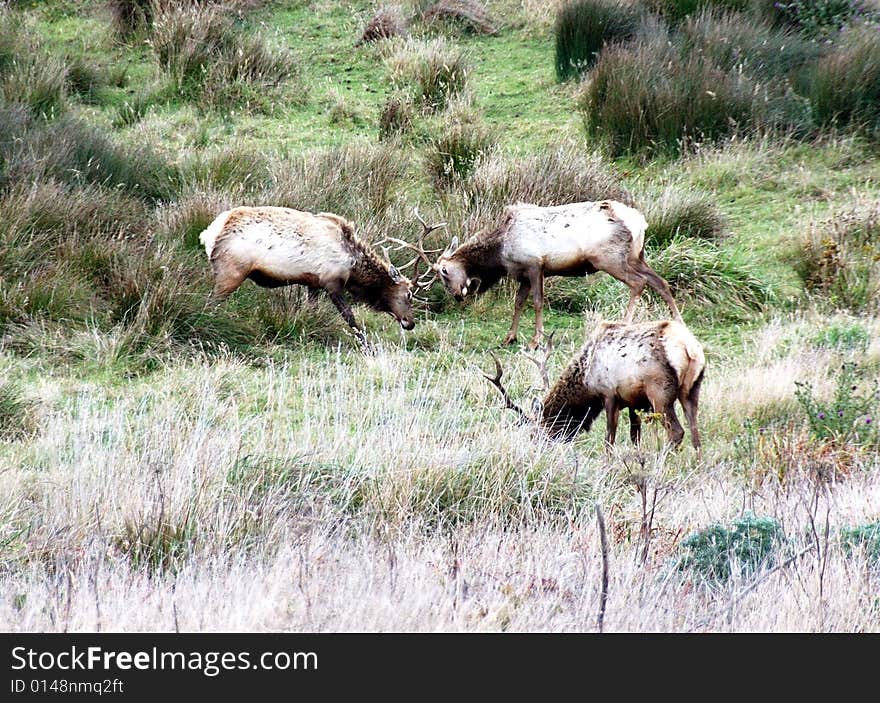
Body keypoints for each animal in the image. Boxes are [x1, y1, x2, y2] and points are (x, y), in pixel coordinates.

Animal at [426, 201, 680, 350]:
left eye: (444, 272)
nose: (457, 295)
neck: (500, 251)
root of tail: (641, 223)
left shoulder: (534, 265)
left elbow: (537, 302)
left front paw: (536, 340)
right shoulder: (523, 275)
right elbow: (518, 303)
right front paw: (510, 337)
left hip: (610, 259)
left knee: (639, 283)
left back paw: (623, 325)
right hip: (637, 256)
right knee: (660, 282)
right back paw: (678, 321)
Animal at [484, 320, 704, 452]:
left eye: (536, 434)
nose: (536, 452)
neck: (586, 381)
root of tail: (689, 348)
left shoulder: (609, 394)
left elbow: (609, 438)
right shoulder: (634, 401)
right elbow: (635, 436)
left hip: (659, 393)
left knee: (677, 432)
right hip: (692, 390)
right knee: (695, 430)